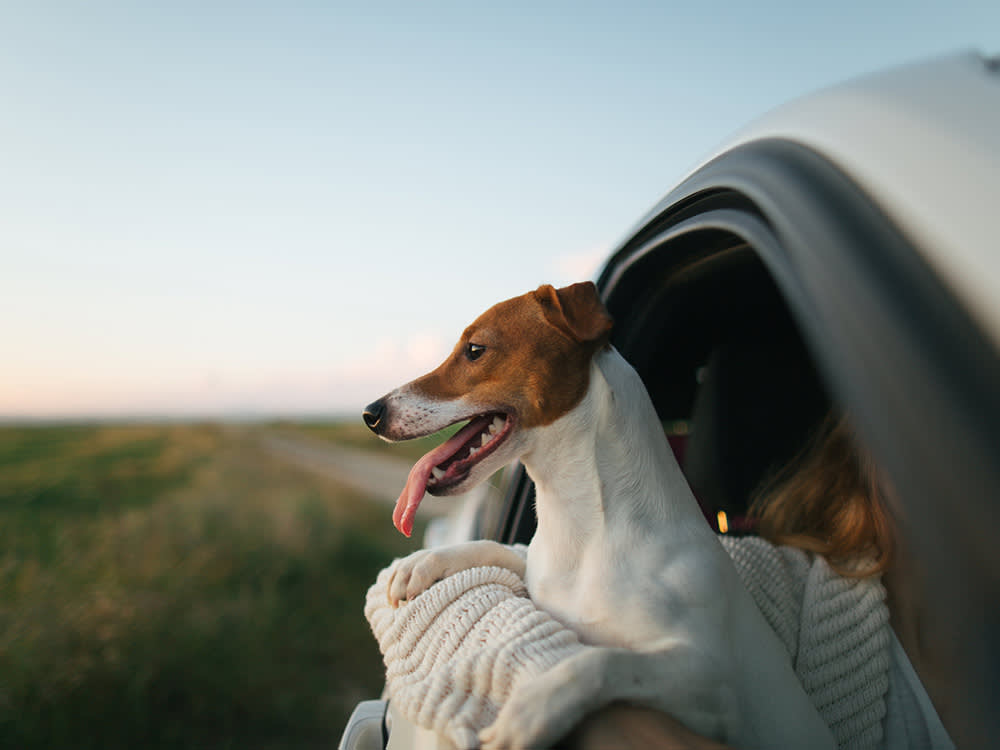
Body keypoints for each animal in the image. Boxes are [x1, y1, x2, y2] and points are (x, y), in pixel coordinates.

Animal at [364, 282, 832, 750]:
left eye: (475, 349)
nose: (371, 413)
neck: (588, 530)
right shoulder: (537, 569)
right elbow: (500, 548)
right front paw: (422, 563)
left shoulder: (710, 684)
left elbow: (604, 662)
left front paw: (530, 711)